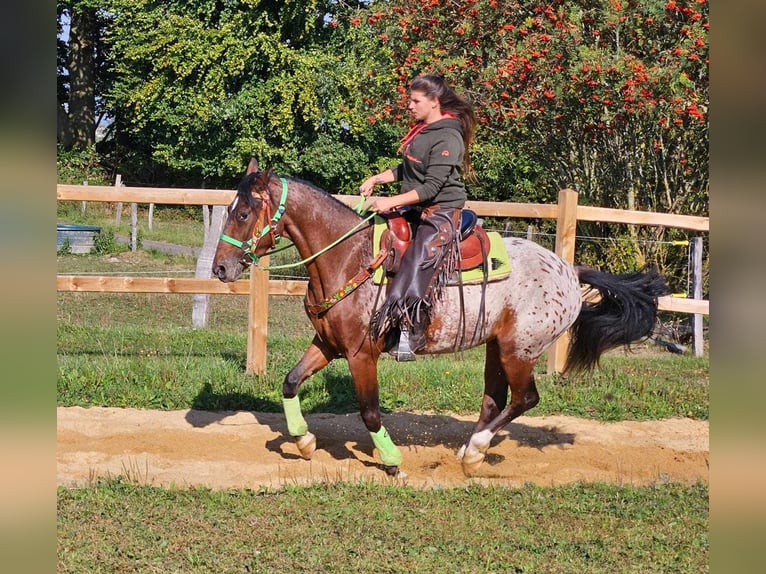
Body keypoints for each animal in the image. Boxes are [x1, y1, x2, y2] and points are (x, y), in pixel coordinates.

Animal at [213, 160, 668, 480]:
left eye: (244, 213)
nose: (220, 269)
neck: (347, 258)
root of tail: (570, 271)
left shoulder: (362, 355)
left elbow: (370, 412)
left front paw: (393, 462)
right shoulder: (328, 345)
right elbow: (290, 382)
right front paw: (305, 441)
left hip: (519, 349)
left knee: (524, 399)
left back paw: (476, 450)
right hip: (495, 347)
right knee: (494, 400)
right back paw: (468, 453)